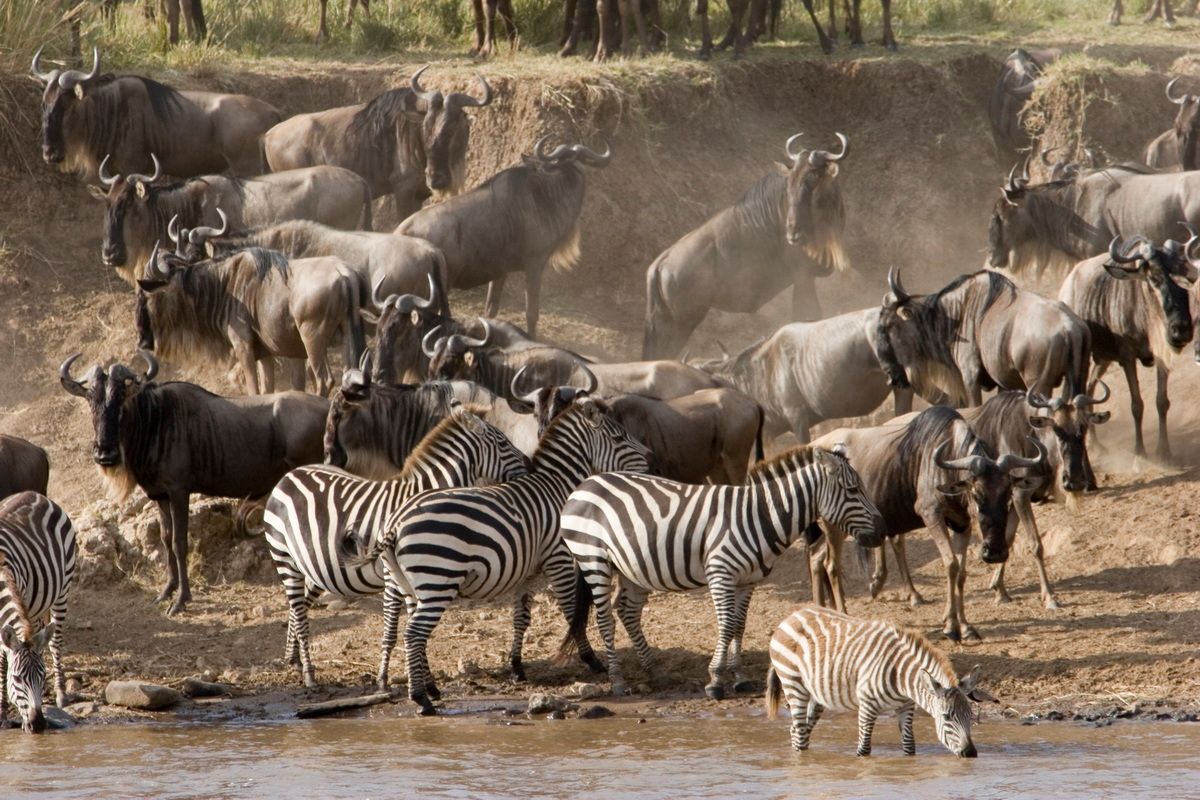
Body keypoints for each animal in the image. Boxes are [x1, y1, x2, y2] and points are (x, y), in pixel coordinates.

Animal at [0, 492, 76, 734]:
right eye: (16, 679)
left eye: (42, 677)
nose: (38, 724)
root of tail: (36, 495)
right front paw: (2, 713)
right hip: (35, 607)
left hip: (63, 590)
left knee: (55, 642)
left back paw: (61, 694)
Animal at [262, 404, 529, 689]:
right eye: (503, 442)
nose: (529, 464)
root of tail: (290, 475)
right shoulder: (393, 577)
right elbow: (392, 631)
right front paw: (383, 679)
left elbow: (416, 627)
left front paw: (426, 680)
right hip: (284, 557)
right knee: (300, 614)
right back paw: (309, 675)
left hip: (313, 567)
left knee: (298, 608)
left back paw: (293, 660)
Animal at [348, 396, 652, 715]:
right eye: (619, 437)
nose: (650, 461)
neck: (556, 486)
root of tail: (395, 522)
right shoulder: (558, 558)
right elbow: (571, 611)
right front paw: (591, 659)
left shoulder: (527, 569)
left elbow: (521, 617)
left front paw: (517, 667)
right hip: (437, 580)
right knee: (413, 634)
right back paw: (421, 698)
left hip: (409, 583)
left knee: (409, 631)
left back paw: (426, 689)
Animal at [557, 445, 885, 700]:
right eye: (853, 490)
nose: (881, 532)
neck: (759, 517)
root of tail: (587, 482)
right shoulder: (721, 574)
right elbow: (726, 625)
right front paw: (715, 680)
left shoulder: (748, 581)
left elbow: (739, 625)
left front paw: (739, 677)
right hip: (593, 559)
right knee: (605, 619)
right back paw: (617, 680)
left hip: (630, 567)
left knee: (627, 610)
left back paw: (654, 671)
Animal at [766, 604, 995, 757]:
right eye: (947, 717)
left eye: (971, 716)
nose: (971, 753)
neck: (901, 677)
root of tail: (792, 615)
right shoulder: (867, 705)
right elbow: (864, 749)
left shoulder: (906, 707)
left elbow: (909, 745)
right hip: (794, 685)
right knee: (799, 731)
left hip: (816, 694)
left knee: (798, 731)